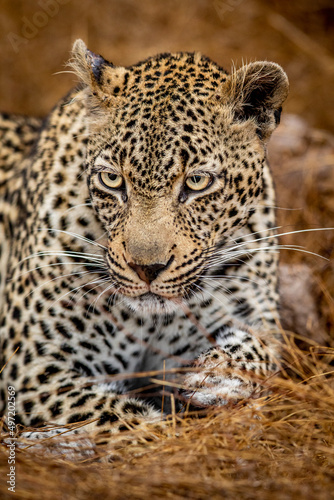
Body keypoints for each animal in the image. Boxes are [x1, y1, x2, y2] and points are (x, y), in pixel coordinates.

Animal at [0, 39, 288, 444]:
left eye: (197, 181)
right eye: (112, 180)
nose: (147, 269)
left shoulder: (262, 317)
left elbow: (260, 349)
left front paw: (216, 373)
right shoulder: (33, 368)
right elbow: (125, 422)